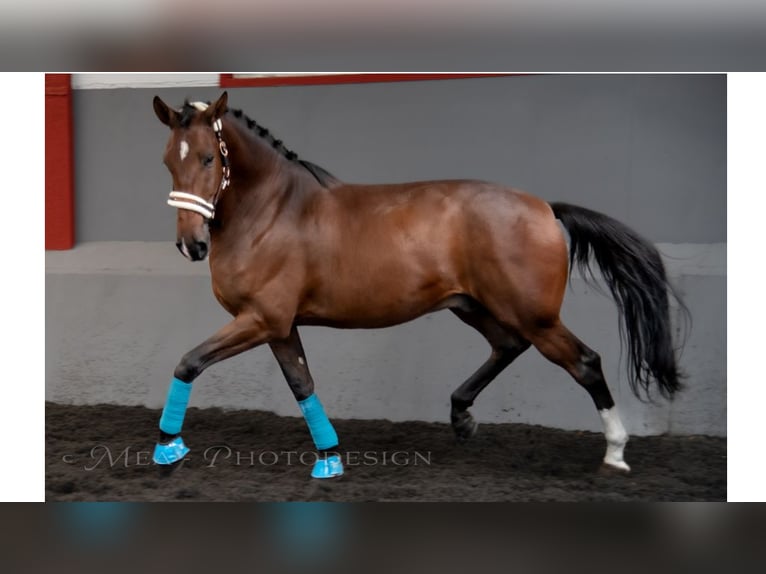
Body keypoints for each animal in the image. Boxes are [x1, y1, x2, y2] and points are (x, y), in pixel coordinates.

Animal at [148, 93, 684, 482]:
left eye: (207, 158)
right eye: (168, 161)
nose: (191, 245)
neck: (272, 210)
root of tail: (546, 209)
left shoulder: (261, 319)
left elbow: (189, 362)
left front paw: (168, 448)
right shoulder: (279, 326)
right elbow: (302, 385)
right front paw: (330, 458)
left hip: (534, 314)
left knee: (584, 362)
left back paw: (615, 454)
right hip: (472, 305)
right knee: (509, 345)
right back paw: (462, 417)